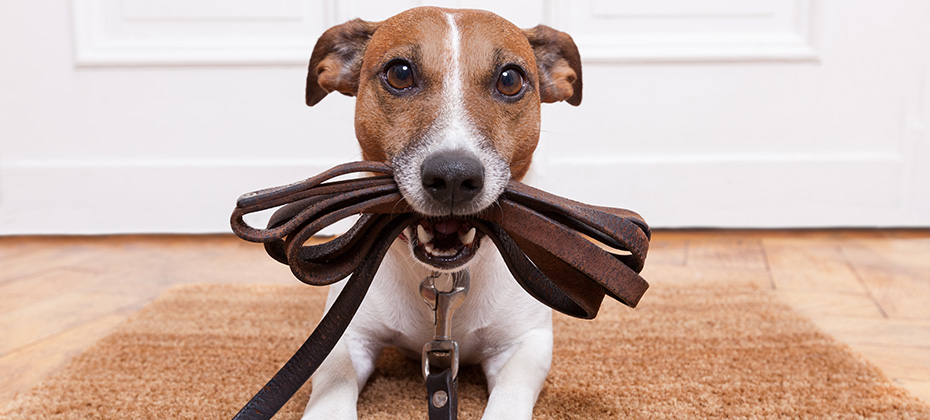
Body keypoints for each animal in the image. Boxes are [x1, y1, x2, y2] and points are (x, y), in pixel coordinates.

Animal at [300, 6, 580, 420]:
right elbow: (333, 385)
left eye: (510, 79)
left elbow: (509, 397)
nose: (453, 177)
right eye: (400, 73)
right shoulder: (345, 336)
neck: (443, 281)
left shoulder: (525, 344)